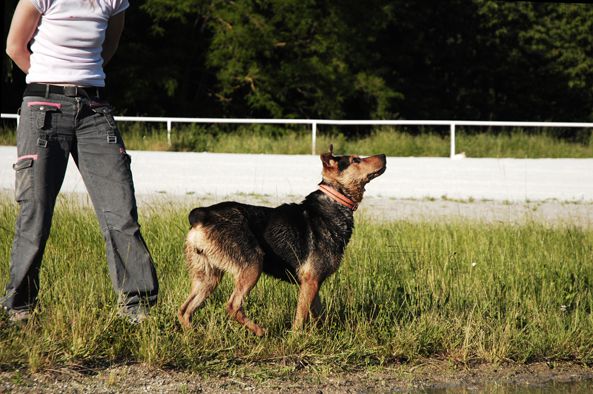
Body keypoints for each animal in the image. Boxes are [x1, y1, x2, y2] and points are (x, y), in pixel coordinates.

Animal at [178, 145, 386, 336]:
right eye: (355, 160)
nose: (384, 155)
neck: (335, 201)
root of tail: (201, 215)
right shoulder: (311, 280)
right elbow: (300, 317)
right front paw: (294, 339)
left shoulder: (313, 282)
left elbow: (317, 313)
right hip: (252, 265)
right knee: (232, 305)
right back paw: (260, 331)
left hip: (208, 276)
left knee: (184, 310)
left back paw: (193, 335)